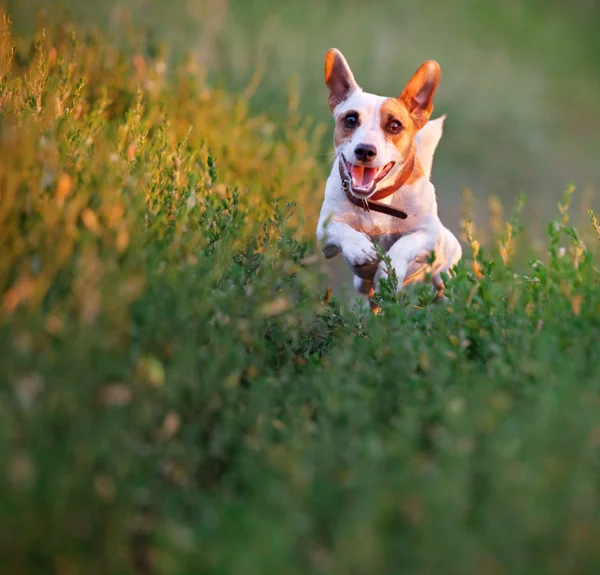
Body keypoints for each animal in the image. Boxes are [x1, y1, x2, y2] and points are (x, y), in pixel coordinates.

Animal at [316, 48, 462, 310]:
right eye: (350, 120)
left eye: (395, 126)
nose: (365, 150)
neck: (378, 200)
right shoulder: (324, 235)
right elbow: (341, 229)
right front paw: (359, 247)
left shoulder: (428, 236)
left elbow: (403, 245)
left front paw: (389, 269)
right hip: (361, 285)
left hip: (447, 268)